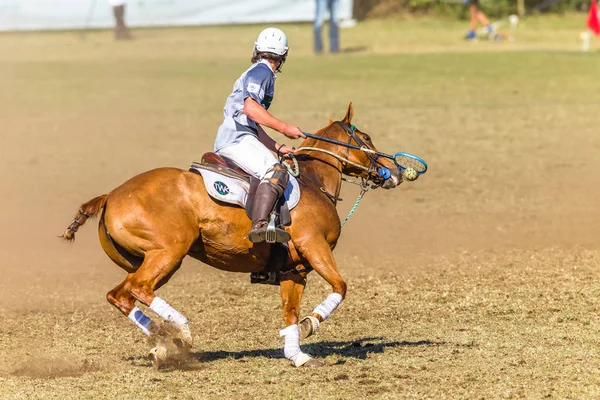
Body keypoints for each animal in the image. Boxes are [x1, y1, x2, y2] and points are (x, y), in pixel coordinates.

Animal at [61, 104, 400, 368]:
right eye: (365, 138)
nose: (393, 172)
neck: (313, 180)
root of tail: (110, 196)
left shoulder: (294, 269)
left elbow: (290, 313)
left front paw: (298, 355)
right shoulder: (314, 246)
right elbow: (340, 288)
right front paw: (310, 326)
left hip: (154, 259)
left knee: (120, 294)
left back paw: (162, 344)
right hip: (169, 251)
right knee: (138, 288)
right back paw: (181, 332)